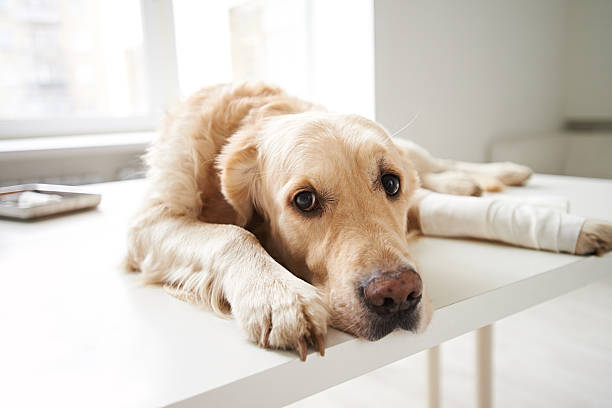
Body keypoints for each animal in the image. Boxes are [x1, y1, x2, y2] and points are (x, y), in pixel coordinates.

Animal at [125, 82, 612, 360]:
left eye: (390, 183)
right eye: (304, 200)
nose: (398, 295)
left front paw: (578, 228)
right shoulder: (149, 224)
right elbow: (231, 234)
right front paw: (280, 296)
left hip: (412, 150)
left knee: (435, 163)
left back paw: (500, 172)